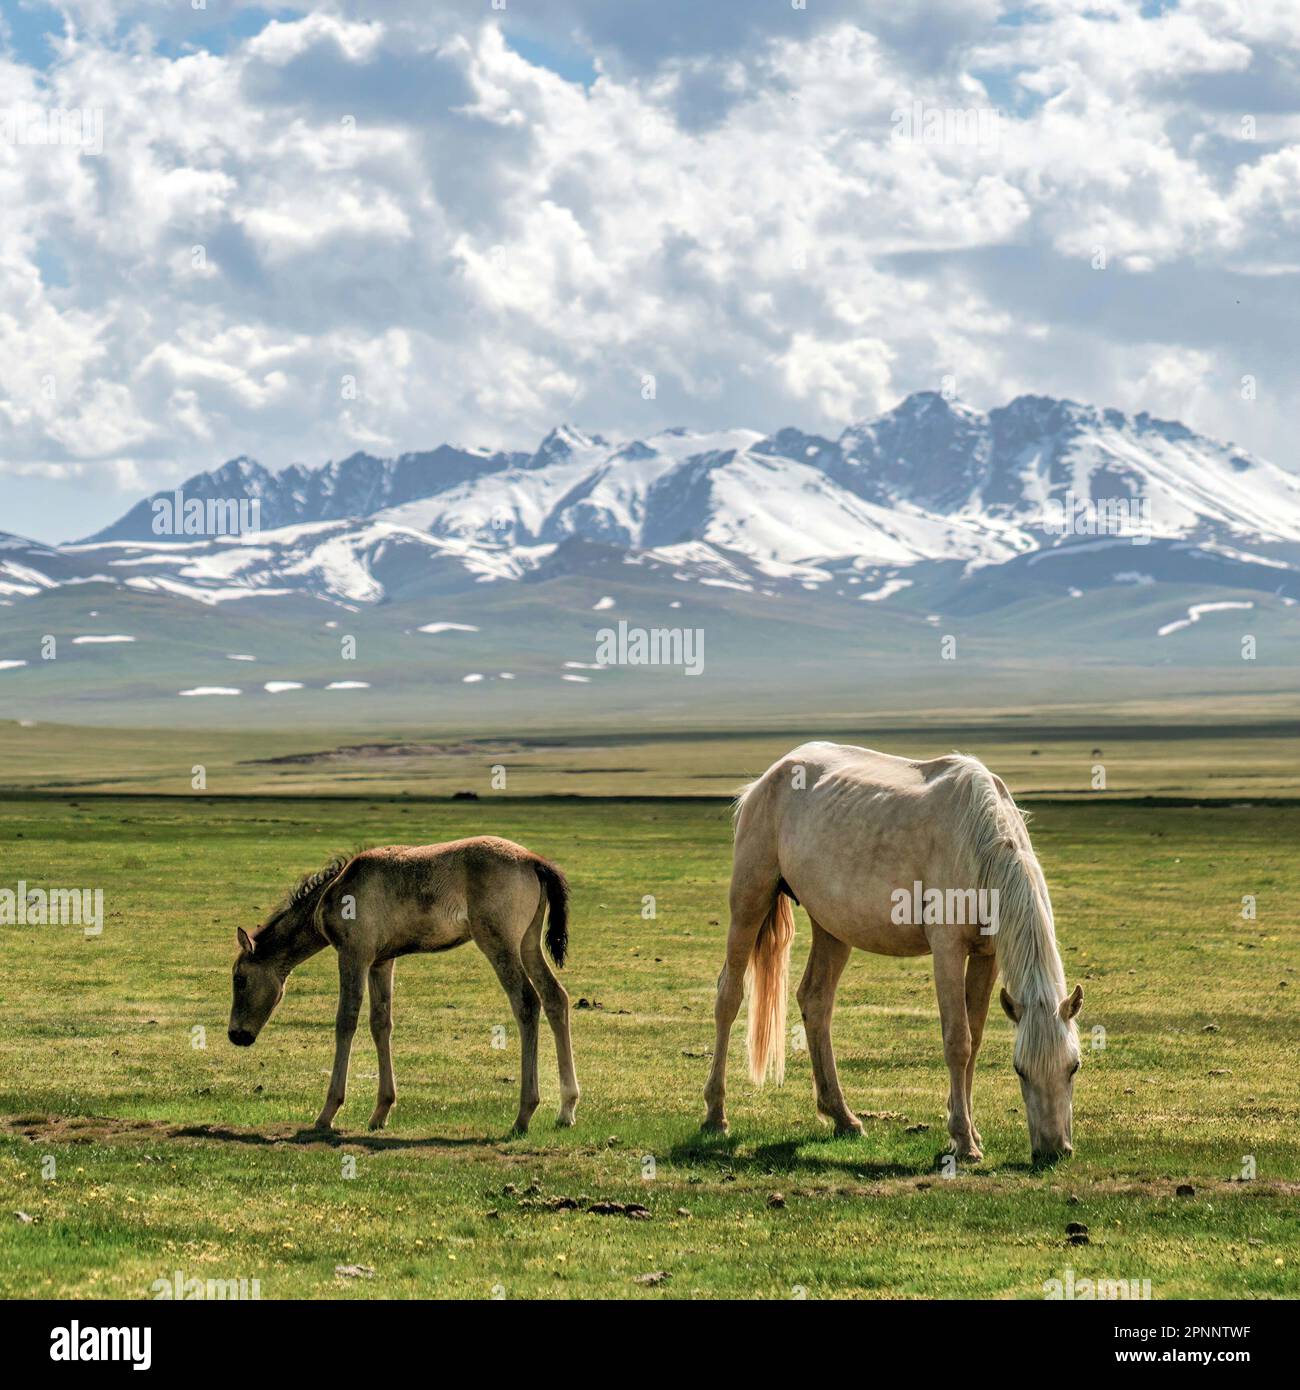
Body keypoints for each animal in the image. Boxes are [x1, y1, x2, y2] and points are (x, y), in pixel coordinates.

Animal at [227, 837, 580, 1135]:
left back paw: (524, 1114)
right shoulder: (381, 962)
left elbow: (346, 1021)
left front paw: (327, 1113)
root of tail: (533, 861)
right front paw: (380, 1111)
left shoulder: (353, 955)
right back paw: (566, 1109)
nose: (236, 1034)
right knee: (555, 998)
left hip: (499, 944)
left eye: (239, 978)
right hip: (528, 944)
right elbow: (380, 1023)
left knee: (527, 1002)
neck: (332, 894)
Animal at [702, 742, 1083, 1162]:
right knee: (729, 997)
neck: (978, 842)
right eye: (1020, 1070)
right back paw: (716, 1115)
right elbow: (958, 1041)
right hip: (750, 901)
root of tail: (770, 776)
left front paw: (969, 1131)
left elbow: (976, 1035)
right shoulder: (948, 951)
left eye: (1073, 1067)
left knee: (816, 1001)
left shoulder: (987, 956)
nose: (1054, 1150)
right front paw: (963, 1140)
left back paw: (842, 1116)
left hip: (832, 926)